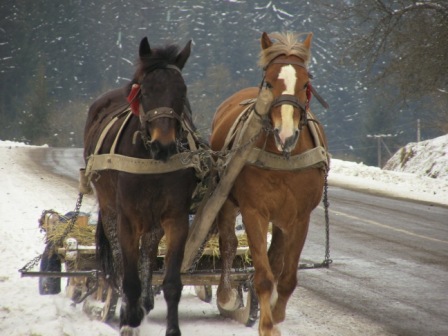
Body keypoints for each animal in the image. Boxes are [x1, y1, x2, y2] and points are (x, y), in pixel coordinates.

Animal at [83, 36, 198, 336]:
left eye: (182, 91)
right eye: (145, 91)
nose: (164, 145)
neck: (150, 159)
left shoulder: (175, 217)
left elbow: (171, 282)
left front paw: (172, 328)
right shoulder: (127, 217)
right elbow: (128, 273)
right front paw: (128, 316)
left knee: (148, 247)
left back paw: (145, 301)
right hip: (109, 207)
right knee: (118, 254)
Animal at [210, 32, 328, 336]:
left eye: (305, 84)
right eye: (271, 82)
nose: (286, 134)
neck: (283, 156)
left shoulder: (299, 217)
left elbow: (285, 276)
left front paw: (276, 312)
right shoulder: (254, 212)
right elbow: (262, 275)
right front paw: (266, 325)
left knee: (275, 258)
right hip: (226, 199)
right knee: (228, 242)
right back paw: (226, 294)